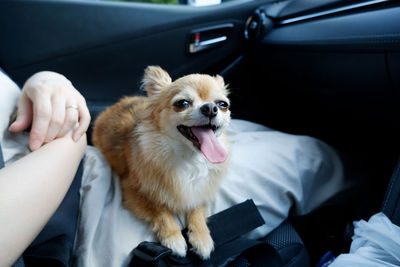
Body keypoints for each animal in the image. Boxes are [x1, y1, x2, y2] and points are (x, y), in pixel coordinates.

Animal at [92, 65, 231, 260]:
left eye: (223, 105)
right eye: (182, 103)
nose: (211, 108)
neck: (188, 158)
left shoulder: (200, 188)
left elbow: (196, 207)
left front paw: (202, 237)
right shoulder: (133, 190)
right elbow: (160, 210)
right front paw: (174, 238)